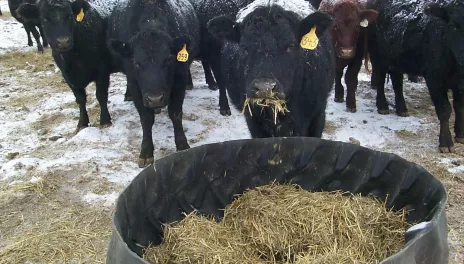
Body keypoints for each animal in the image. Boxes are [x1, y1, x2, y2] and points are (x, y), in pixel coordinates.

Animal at [17, 0, 130, 131]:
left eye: (69, 16)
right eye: (44, 18)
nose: (63, 41)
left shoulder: (102, 70)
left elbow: (101, 95)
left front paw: (105, 120)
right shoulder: (66, 75)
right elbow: (80, 98)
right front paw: (82, 123)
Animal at [108, 0, 200, 167]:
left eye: (168, 59)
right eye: (136, 62)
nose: (155, 99)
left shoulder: (180, 78)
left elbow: (175, 113)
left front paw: (182, 145)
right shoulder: (134, 83)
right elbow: (146, 118)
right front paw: (146, 152)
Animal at [368, 0, 464, 153]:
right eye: (453, 25)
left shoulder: (460, 83)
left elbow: (459, 106)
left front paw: (460, 134)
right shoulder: (434, 78)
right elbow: (445, 109)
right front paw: (446, 142)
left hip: (396, 58)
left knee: (397, 81)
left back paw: (402, 109)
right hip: (376, 54)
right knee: (381, 80)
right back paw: (382, 106)